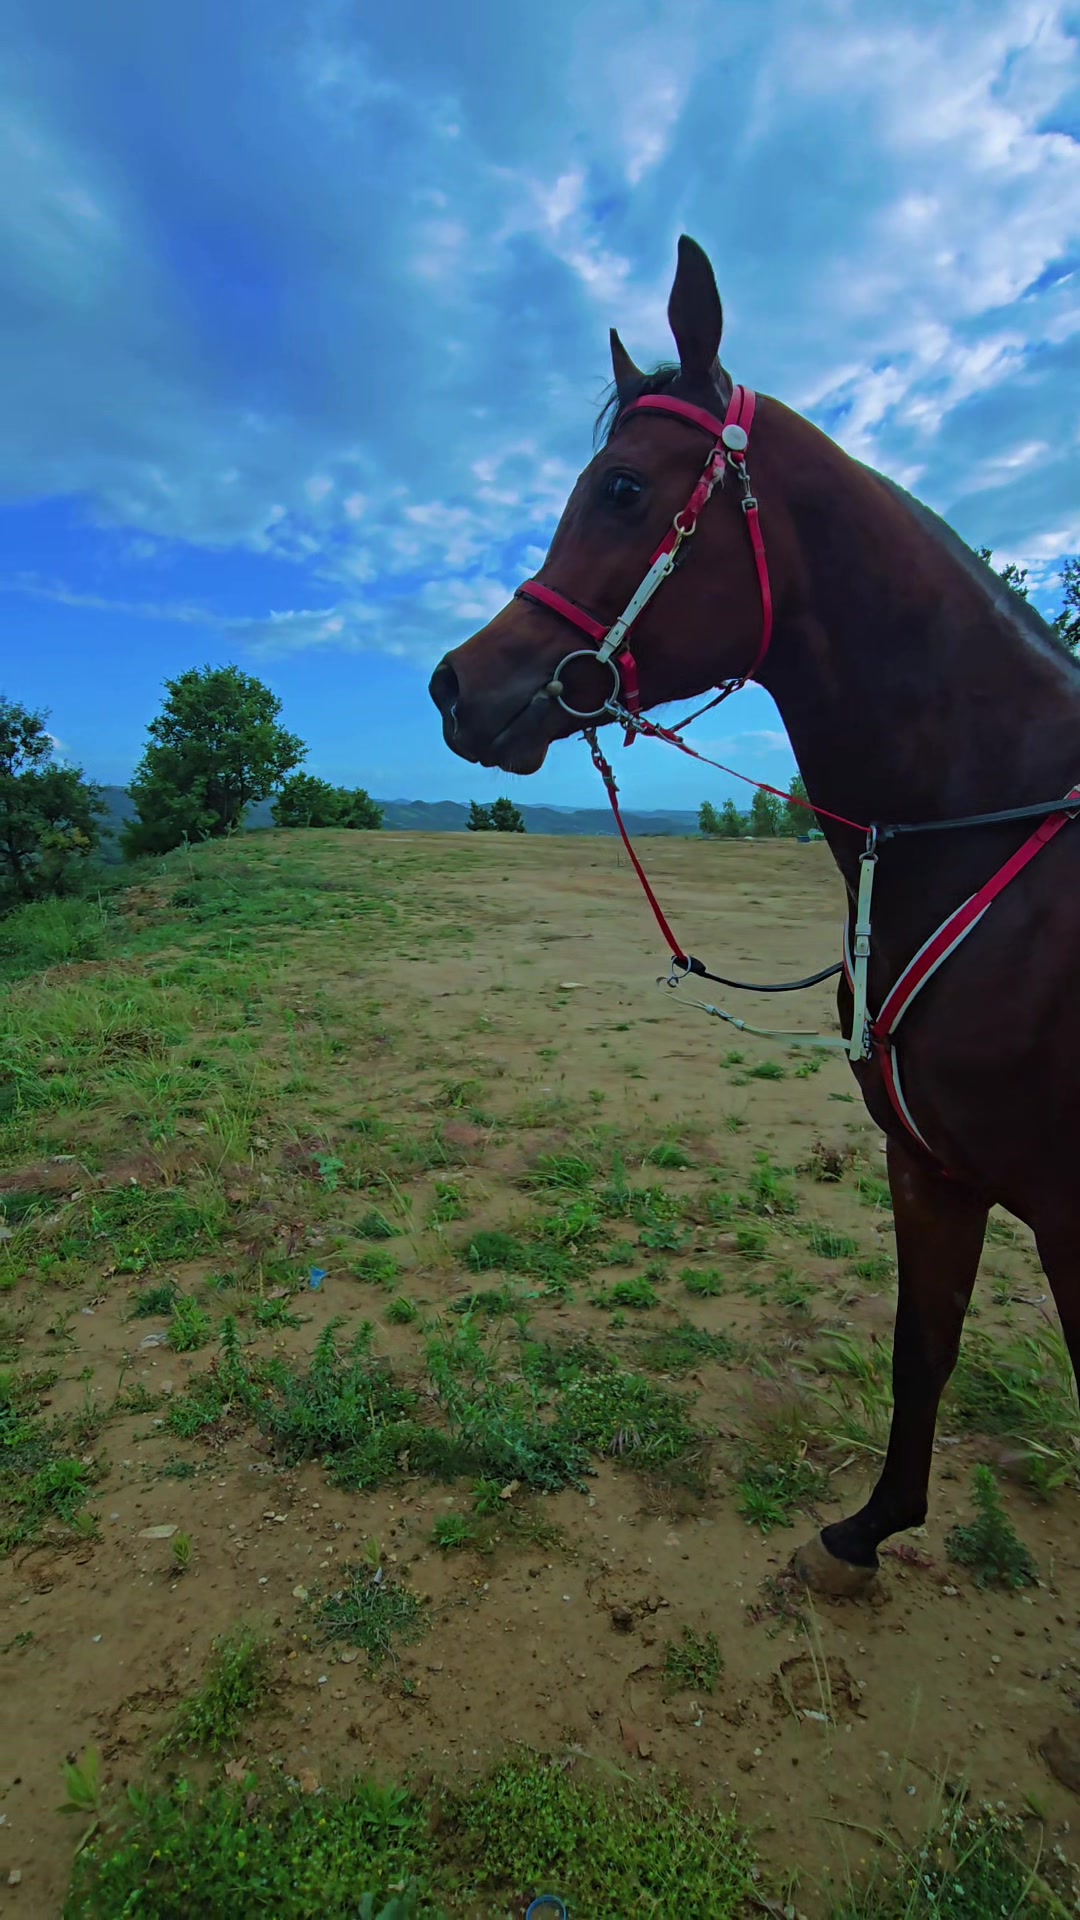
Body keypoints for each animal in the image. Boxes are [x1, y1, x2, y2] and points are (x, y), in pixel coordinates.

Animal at [428, 234, 1080, 1780]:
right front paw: (866, 1532)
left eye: (621, 489)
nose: (453, 686)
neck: (994, 825)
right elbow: (921, 1346)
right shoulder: (933, 1165)